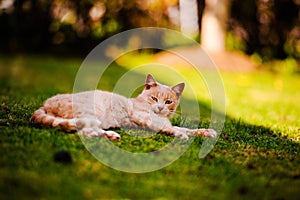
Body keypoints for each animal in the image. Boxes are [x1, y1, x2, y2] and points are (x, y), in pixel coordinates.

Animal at [30, 74, 216, 141]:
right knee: (83, 131)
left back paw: (110, 135)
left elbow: (185, 128)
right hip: (90, 113)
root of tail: (45, 104)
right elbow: (174, 129)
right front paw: (181, 135)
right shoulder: (144, 118)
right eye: (154, 98)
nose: (160, 107)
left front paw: (205, 132)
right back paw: (108, 135)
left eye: (169, 102)